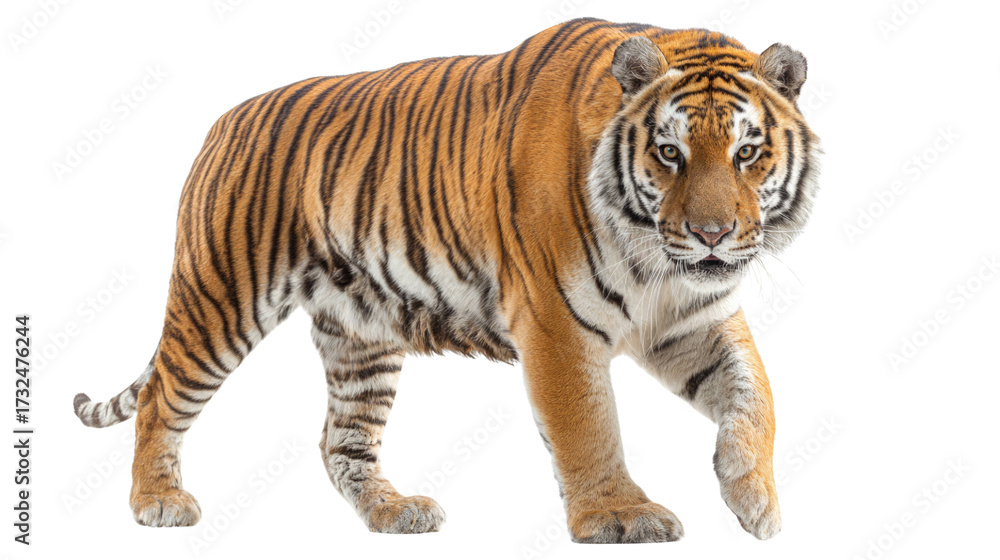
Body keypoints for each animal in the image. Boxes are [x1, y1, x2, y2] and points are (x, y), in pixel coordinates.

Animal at [72, 17, 820, 543]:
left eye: (747, 153)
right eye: (670, 152)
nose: (712, 233)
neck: (658, 263)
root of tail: (223, 121)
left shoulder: (691, 319)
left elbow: (757, 392)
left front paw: (753, 495)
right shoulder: (555, 323)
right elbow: (589, 424)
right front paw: (618, 516)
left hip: (362, 336)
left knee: (341, 442)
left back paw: (393, 512)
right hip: (221, 298)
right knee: (161, 398)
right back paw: (157, 503)